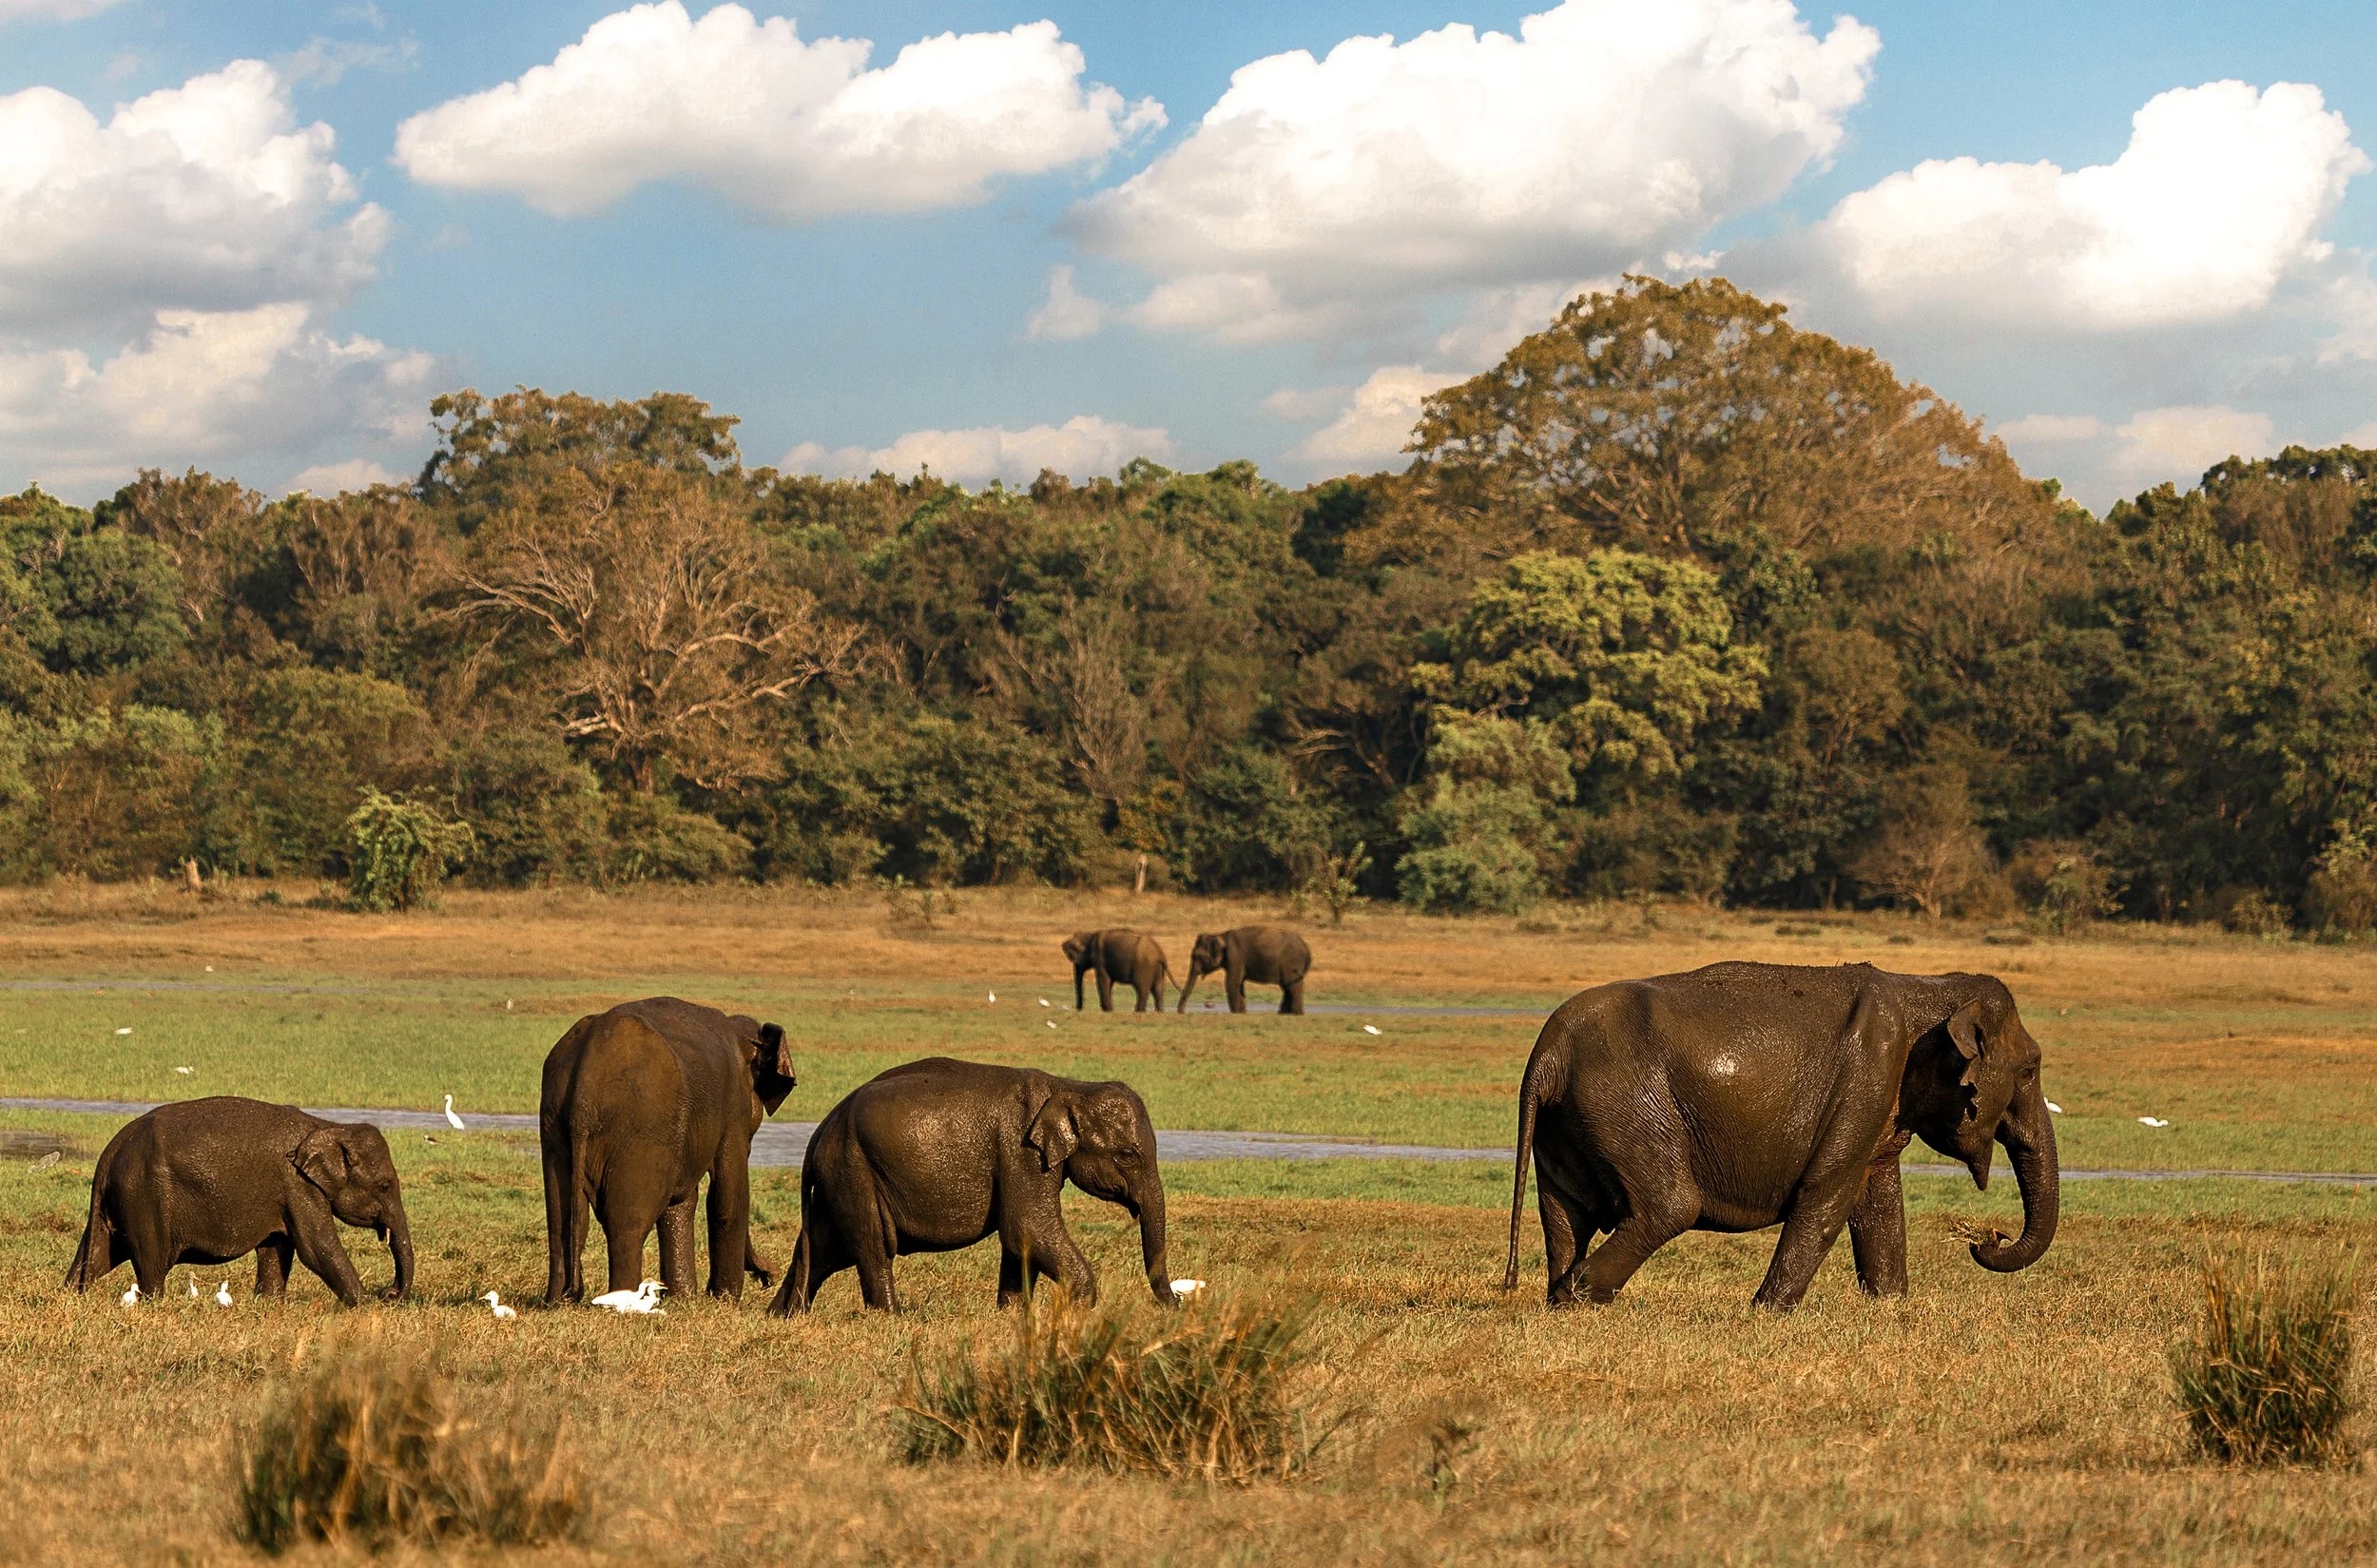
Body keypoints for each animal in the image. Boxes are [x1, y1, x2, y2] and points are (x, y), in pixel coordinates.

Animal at [65, 1097, 413, 1306]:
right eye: (385, 1186)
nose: (389, 1293)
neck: (328, 1126)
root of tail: (108, 1156)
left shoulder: (285, 1193)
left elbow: (277, 1247)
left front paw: (269, 1305)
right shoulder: (298, 1185)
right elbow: (317, 1249)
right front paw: (368, 1308)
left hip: (120, 1204)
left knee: (97, 1256)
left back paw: (71, 1295)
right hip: (145, 1201)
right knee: (152, 1264)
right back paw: (156, 1304)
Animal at [541, 996, 795, 1304]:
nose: (768, 1275)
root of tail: (583, 1094)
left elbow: (681, 1200)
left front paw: (683, 1297)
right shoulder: (734, 1110)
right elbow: (727, 1196)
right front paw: (725, 1300)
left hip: (555, 1122)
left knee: (564, 1218)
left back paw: (559, 1300)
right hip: (640, 1126)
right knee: (627, 1223)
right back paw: (623, 1304)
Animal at [767, 1057, 1173, 1314]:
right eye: (1127, 1156)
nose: (1178, 1304)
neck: (1067, 1086)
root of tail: (825, 1124)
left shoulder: (1022, 1162)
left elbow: (1021, 1241)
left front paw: (1011, 1315)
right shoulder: (1021, 1152)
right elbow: (1029, 1229)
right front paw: (1080, 1310)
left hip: (839, 1176)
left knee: (824, 1248)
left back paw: (784, 1314)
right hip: (855, 1170)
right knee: (873, 1246)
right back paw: (891, 1317)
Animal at [1177, 925, 1310, 1014]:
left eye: (1197, 956)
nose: (1181, 1012)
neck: (1220, 935)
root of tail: (1307, 948)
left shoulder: (1235, 957)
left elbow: (1232, 982)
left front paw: (1236, 1012)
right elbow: (1239, 984)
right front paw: (1242, 1012)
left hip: (1293, 962)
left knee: (1292, 986)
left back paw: (1296, 1013)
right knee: (1287, 987)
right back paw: (1284, 1013)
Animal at [1503, 961, 2058, 1311]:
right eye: (2030, 1070)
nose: (1987, 1237)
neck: (1927, 986)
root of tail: (1546, 1055)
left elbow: (1878, 1199)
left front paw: (1890, 1306)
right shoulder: (1869, 1077)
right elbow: (1830, 1193)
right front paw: (1766, 1313)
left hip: (1566, 1122)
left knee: (1566, 1213)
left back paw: (1559, 1299)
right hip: (1626, 1106)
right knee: (1669, 1206)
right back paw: (1579, 1297)